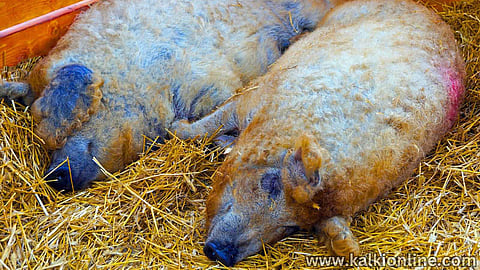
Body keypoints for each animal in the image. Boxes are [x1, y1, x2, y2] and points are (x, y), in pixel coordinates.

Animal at [172, 0, 464, 266]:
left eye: (291, 226)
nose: (221, 253)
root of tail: (427, 11)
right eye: (271, 182)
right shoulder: (254, 96)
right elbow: (210, 123)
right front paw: (177, 127)